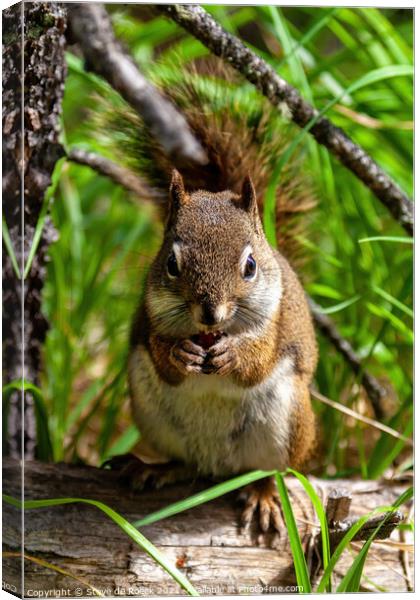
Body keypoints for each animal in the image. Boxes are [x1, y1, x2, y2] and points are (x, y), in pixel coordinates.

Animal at [102, 59, 318, 528]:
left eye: (250, 267)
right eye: (171, 264)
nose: (210, 315)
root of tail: (220, 467)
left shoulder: (274, 325)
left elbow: (257, 362)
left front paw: (234, 355)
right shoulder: (151, 316)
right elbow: (163, 357)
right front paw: (179, 352)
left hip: (288, 424)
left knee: (269, 472)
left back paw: (263, 496)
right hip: (154, 413)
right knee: (188, 465)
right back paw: (152, 468)